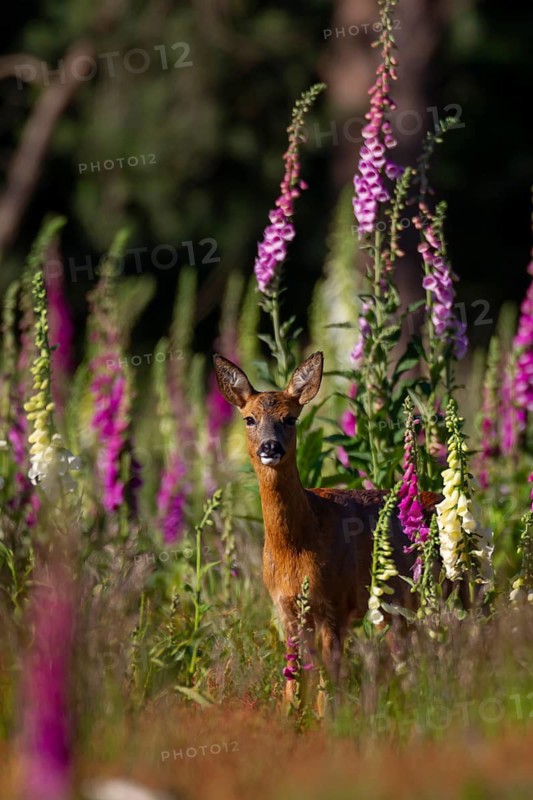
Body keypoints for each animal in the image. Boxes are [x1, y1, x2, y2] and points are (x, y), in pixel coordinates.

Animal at [213, 351, 440, 706]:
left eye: (290, 418)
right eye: (249, 419)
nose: (270, 447)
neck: (297, 544)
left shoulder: (335, 603)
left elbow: (328, 678)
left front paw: (329, 717)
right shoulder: (286, 608)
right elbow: (293, 676)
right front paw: (290, 713)